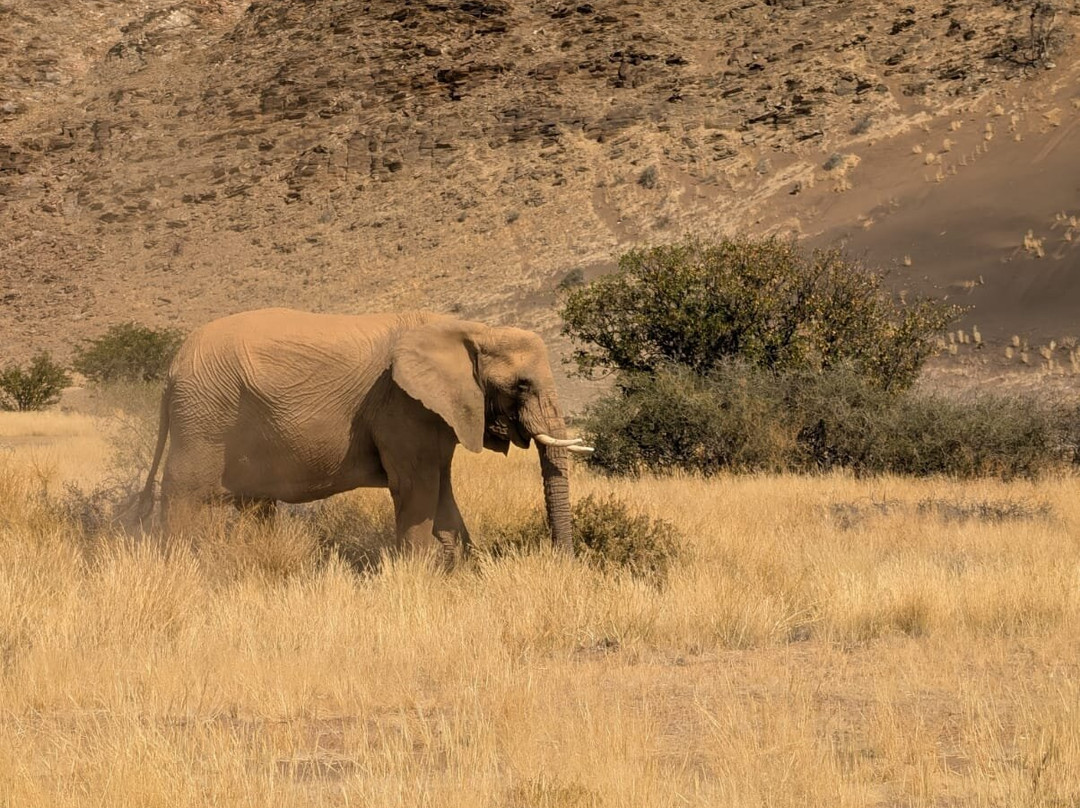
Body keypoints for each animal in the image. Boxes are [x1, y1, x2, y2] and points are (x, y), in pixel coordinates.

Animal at [136, 308, 592, 562]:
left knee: (253, 501)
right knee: (186, 492)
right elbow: (416, 489)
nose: (563, 563)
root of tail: (172, 370)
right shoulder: (402, 406)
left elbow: (441, 491)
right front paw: (417, 576)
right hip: (204, 413)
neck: (469, 330)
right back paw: (184, 565)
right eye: (521, 386)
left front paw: (458, 568)